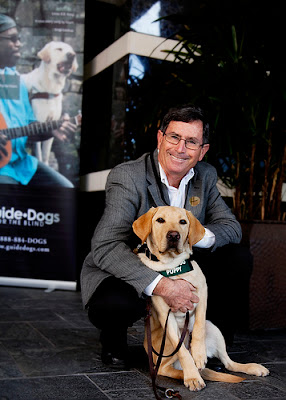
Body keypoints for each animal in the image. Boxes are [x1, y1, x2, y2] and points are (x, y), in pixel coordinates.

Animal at [133, 206, 270, 390]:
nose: (174, 235)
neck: (173, 266)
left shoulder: (202, 293)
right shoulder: (164, 314)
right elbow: (183, 352)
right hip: (168, 344)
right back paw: (188, 373)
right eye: (160, 220)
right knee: (166, 367)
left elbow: (198, 327)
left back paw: (252, 367)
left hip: (213, 328)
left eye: (183, 222)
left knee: (228, 363)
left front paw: (199, 354)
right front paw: (192, 376)